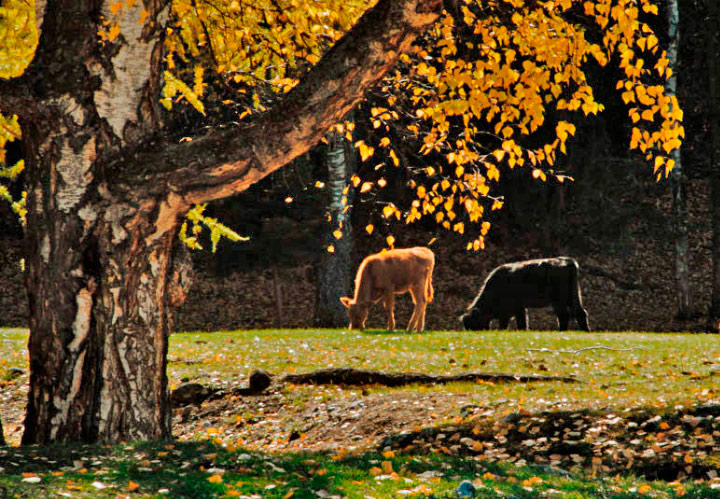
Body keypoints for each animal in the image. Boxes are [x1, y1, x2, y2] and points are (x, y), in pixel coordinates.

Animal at [462, 258, 592, 332]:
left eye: (472, 324)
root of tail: (569, 262)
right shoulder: (520, 308)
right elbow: (522, 323)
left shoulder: (508, 311)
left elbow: (506, 323)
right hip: (573, 296)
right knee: (580, 312)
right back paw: (586, 331)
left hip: (559, 299)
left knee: (564, 315)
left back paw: (562, 331)